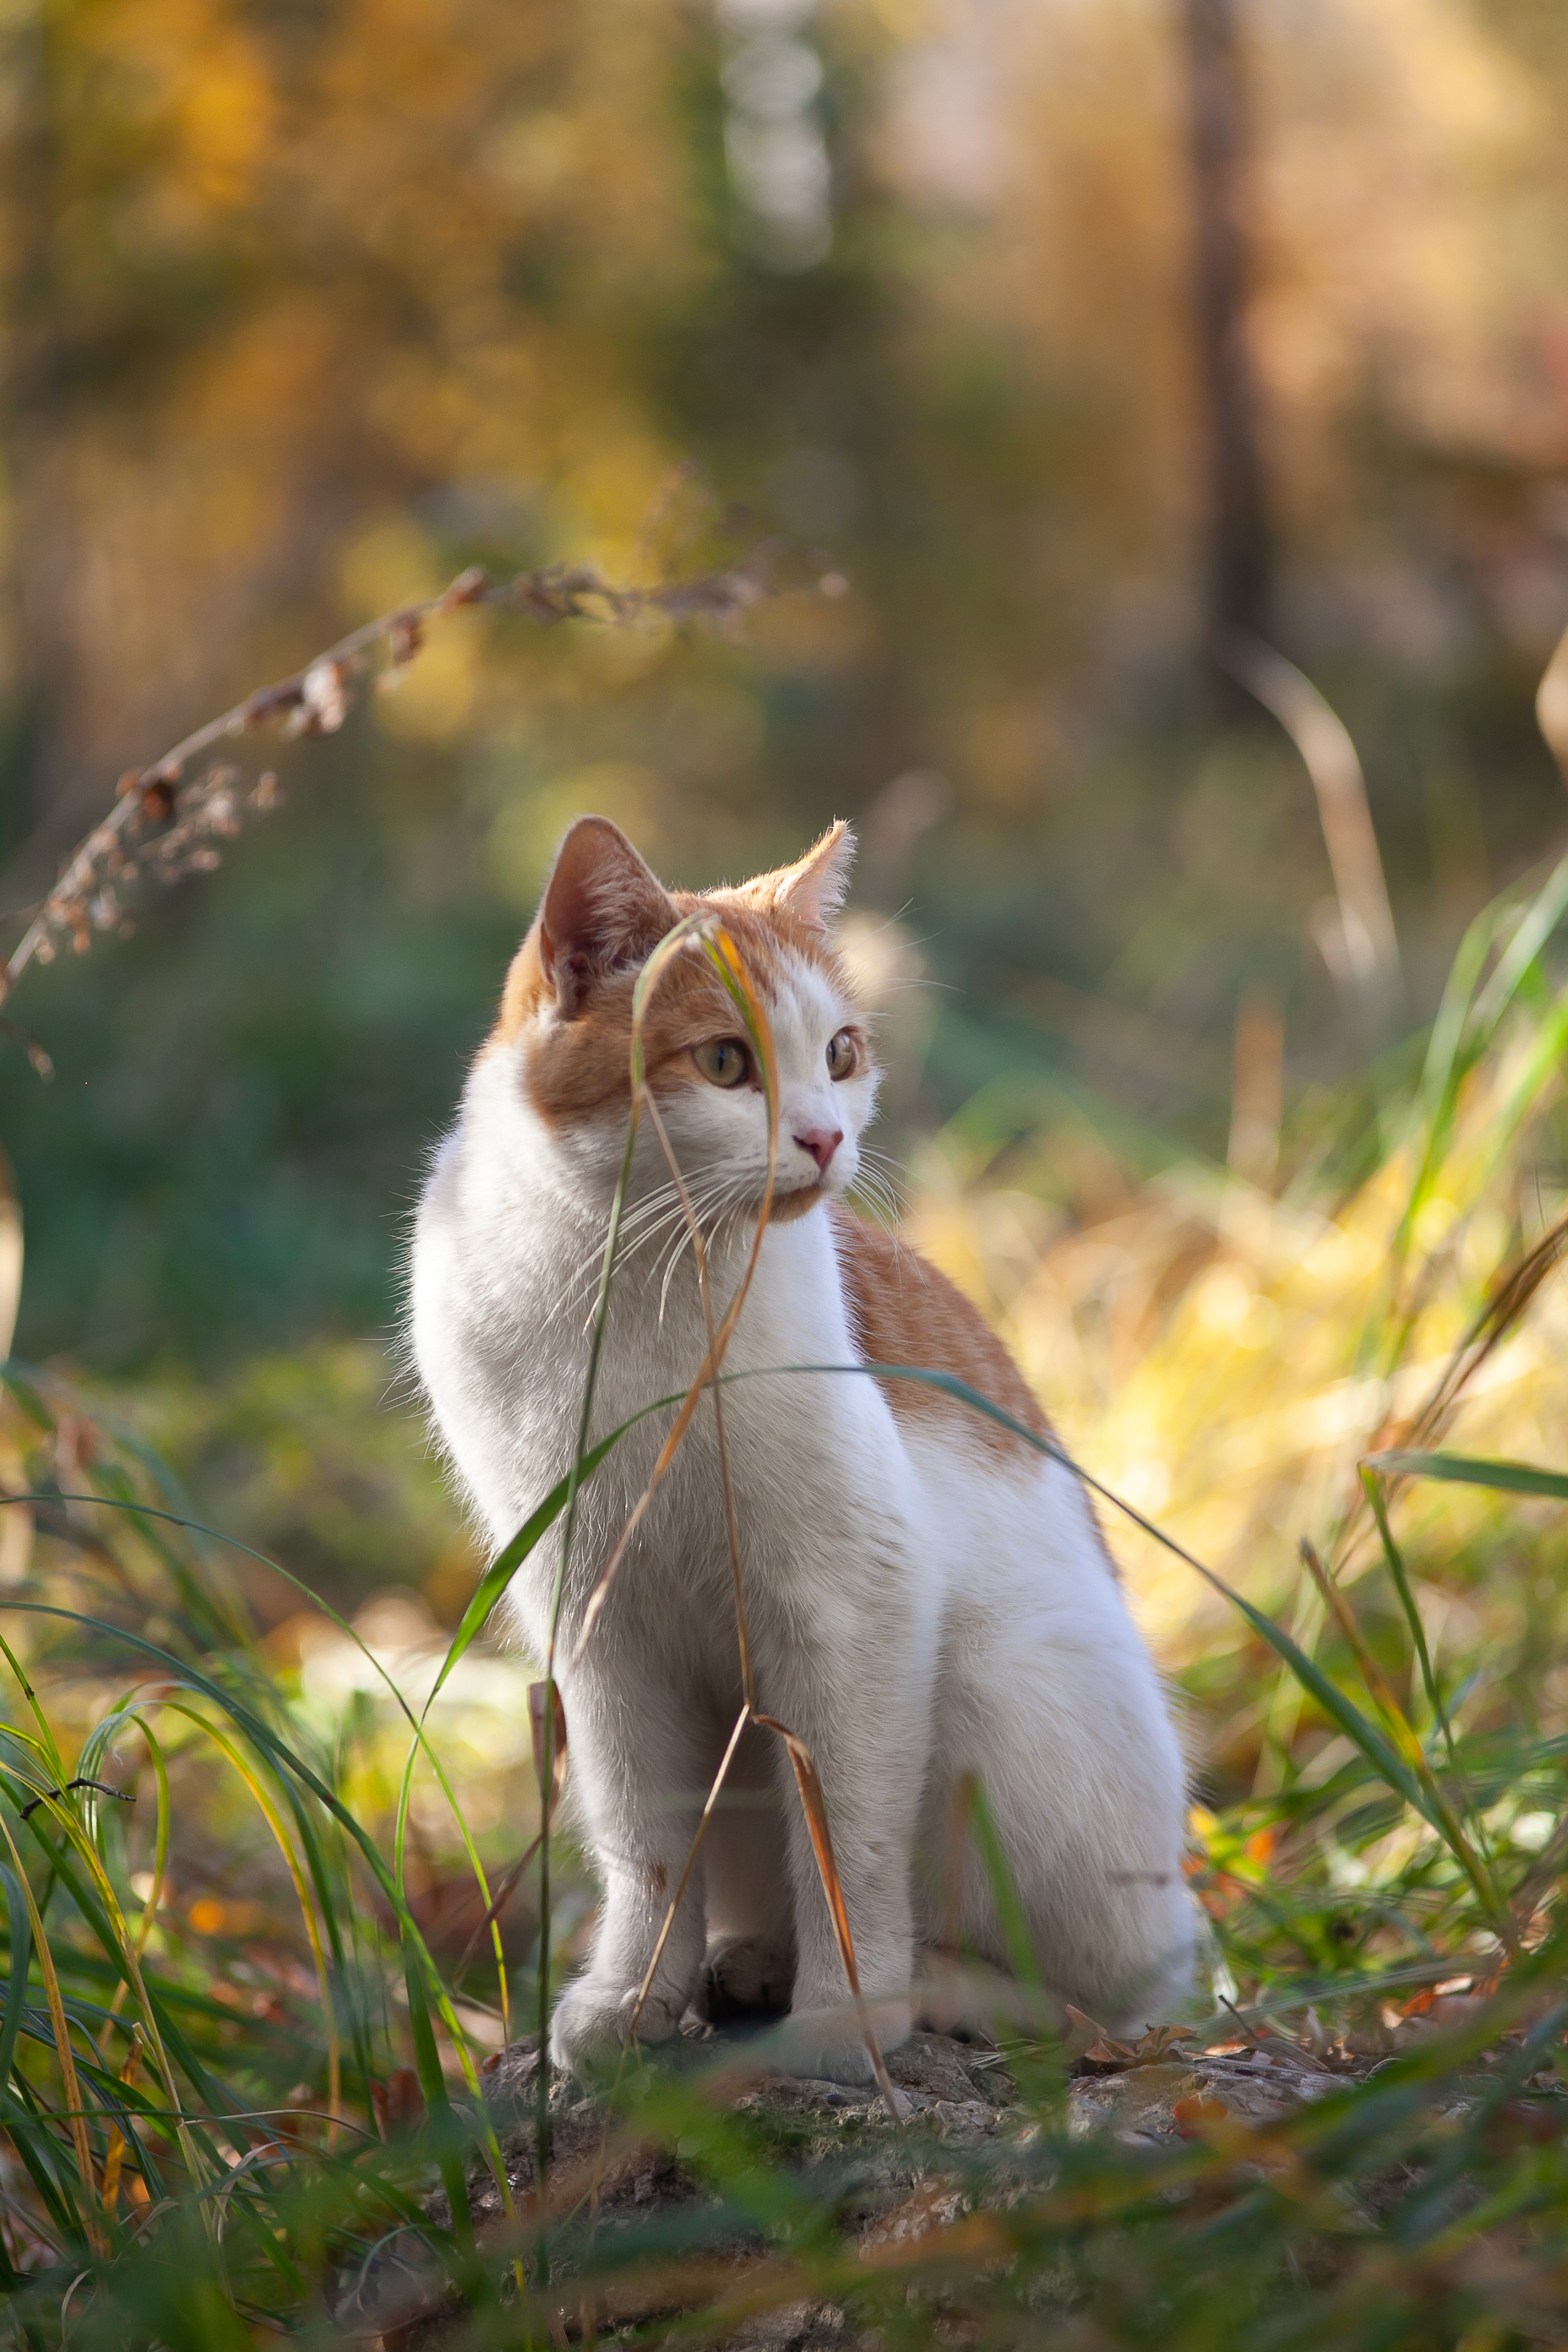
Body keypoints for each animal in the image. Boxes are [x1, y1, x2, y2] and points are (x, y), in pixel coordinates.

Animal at [411, 814, 1194, 2079]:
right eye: (726, 1064)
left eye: (839, 1051)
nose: (825, 1138)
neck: (635, 1284)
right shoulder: (597, 1622)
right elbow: (642, 1838)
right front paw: (632, 1995)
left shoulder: (854, 1607)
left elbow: (848, 1840)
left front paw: (847, 2017)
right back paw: (747, 1964)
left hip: (1000, 1684)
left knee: (1106, 2003)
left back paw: (941, 1990)